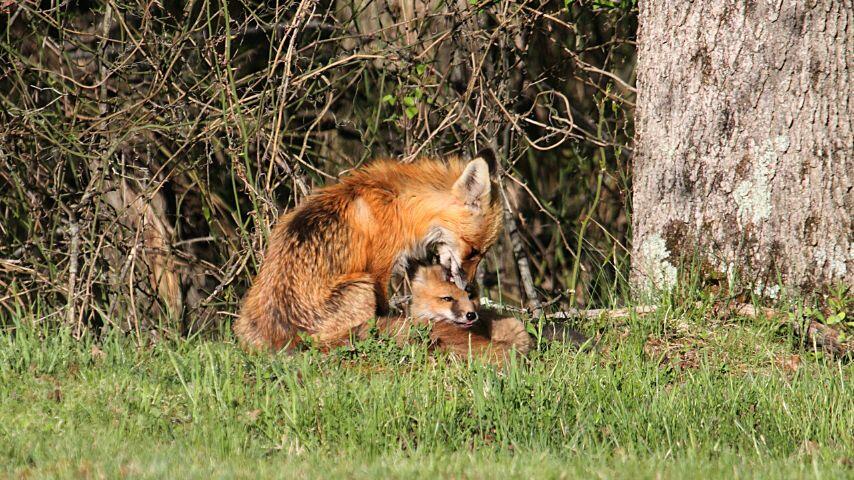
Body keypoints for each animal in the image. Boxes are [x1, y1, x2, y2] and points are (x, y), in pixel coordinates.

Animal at [236, 156, 502, 350]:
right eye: (474, 251)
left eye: (482, 253)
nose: (469, 287)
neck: (402, 204)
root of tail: (278, 340)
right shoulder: (379, 269)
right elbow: (384, 310)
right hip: (360, 285)